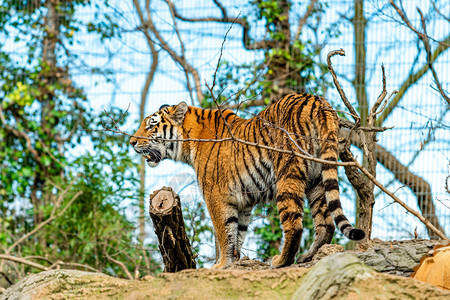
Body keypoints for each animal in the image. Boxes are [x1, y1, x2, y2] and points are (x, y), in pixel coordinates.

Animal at [130, 94, 366, 270]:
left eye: (151, 126)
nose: (131, 142)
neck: (188, 141)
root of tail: (316, 100)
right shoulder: (243, 201)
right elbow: (237, 233)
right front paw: (234, 261)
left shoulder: (215, 196)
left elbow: (223, 233)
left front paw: (220, 265)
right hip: (317, 179)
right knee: (326, 223)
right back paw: (308, 256)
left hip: (287, 172)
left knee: (295, 224)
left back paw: (281, 261)